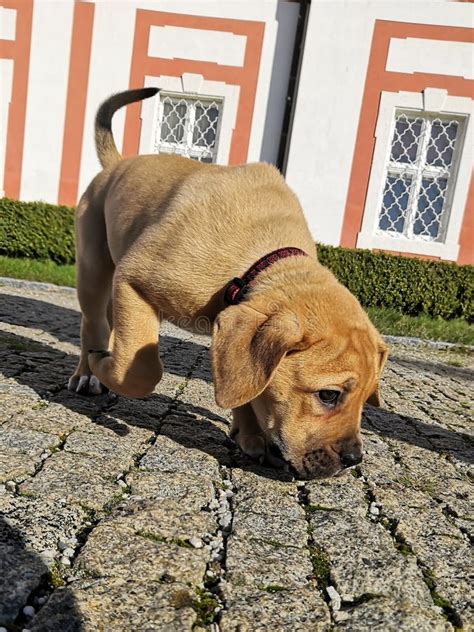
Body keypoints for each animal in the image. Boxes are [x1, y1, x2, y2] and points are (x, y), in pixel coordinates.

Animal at [69, 86, 388, 476]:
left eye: (366, 398)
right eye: (329, 395)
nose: (354, 460)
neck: (263, 258)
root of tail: (117, 164)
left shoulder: (231, 334)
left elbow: (247, 388)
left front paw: (250, 437)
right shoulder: (135, 279)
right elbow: (143, 370)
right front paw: (106, 367)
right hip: (95, 269)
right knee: (93, 324)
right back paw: (90, 371)